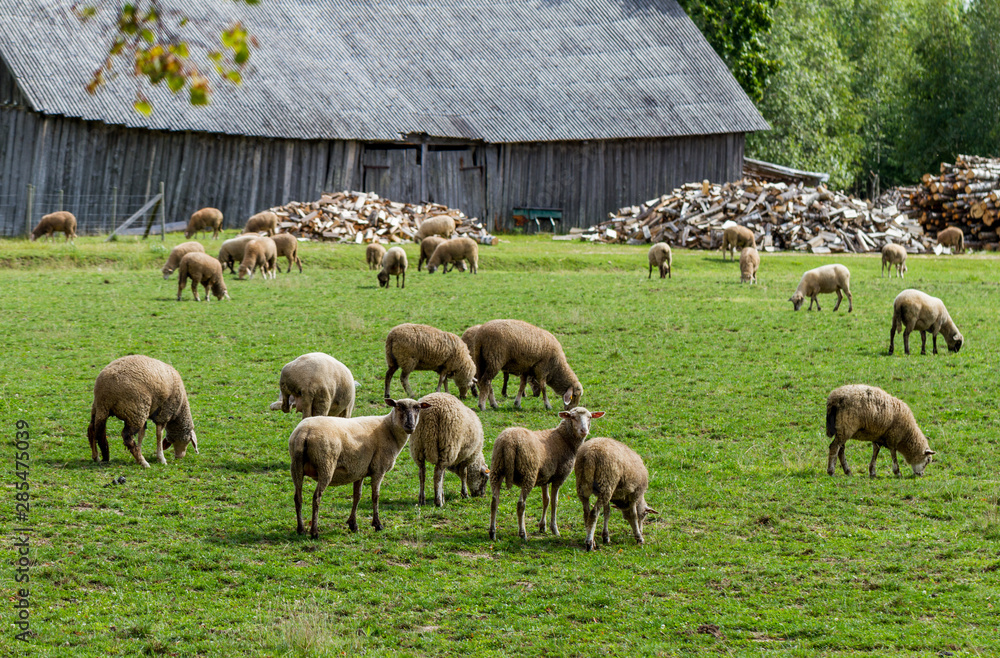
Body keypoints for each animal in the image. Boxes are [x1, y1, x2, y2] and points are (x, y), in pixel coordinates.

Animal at [288, 397, 431, 537]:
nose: (410, 426)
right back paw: (314, 531)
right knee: (316, 497)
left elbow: (357, 496)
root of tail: (305, 433)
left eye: (418, 408)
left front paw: (353, 524)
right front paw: (377, 524)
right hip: (325, 465)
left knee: (297, 497)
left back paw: (301, 529)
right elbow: (375, 496)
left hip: (296, 466)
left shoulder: (359, 470)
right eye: (399, 407)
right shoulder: (378, 469)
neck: (389, 429)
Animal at [488, 407, 605, 540]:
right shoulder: (559, 477)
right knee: (521, 504)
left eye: (589, 417)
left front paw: (542, 526)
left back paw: (492, 532)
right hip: (528, 473)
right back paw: (522, 533)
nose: (584, 430)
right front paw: (554, 529)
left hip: (496, 469)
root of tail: (509, 443)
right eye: (573, 417)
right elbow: (554, 502)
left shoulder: (545, 477)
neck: (564, 439)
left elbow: (546, 500)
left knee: (494, 501)